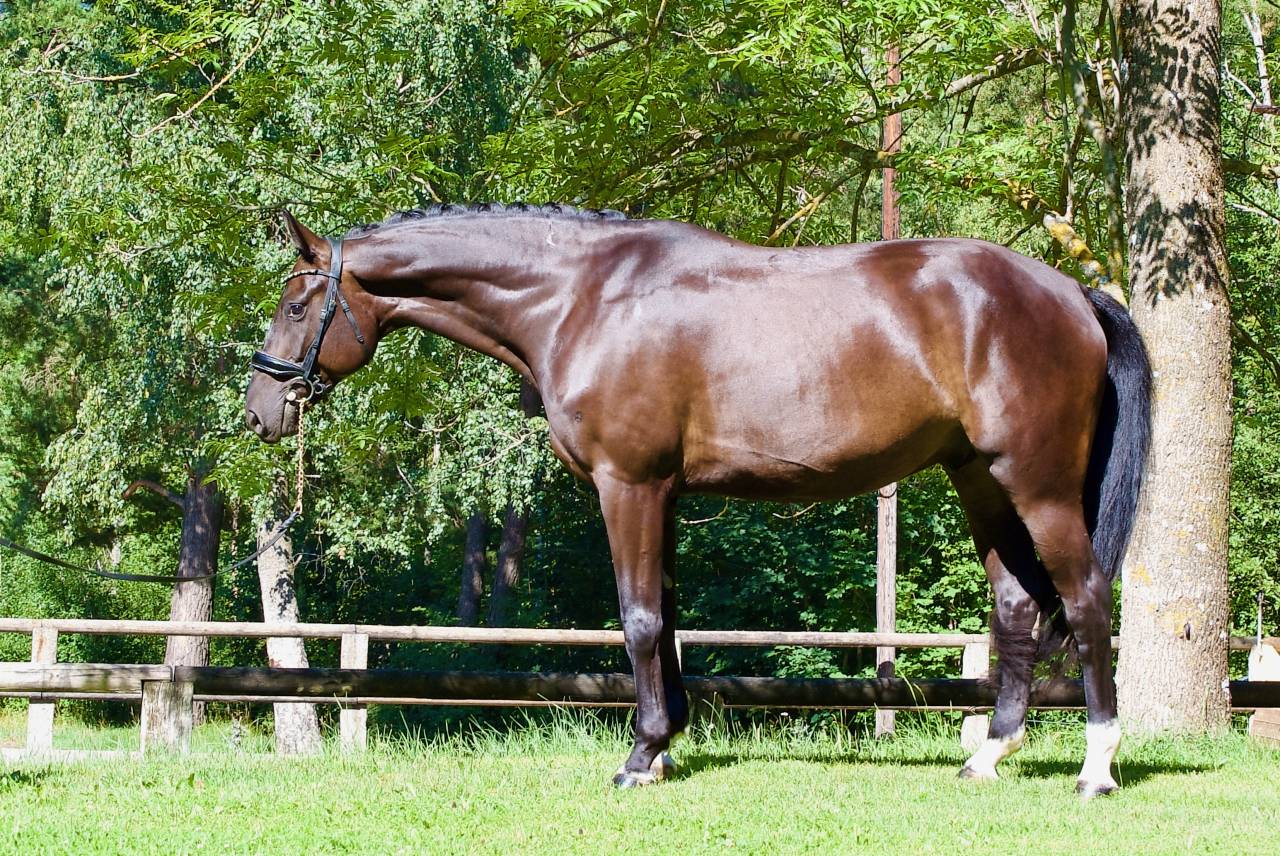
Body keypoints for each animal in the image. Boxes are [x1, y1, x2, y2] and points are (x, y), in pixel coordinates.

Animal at [244, 203, 1151, 797]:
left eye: (295, 304)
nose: (260, 411)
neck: (580, 297)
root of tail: (1071, 292)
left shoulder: (629, 485)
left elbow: (639, 618)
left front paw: (639, 756)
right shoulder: (666, 495)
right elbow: (669, 620)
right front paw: (667, 745)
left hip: (1036, 485)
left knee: (1085, 599)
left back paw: (1096, 768)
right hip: (980, 480)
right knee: (1017, 606)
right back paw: (988, 755)